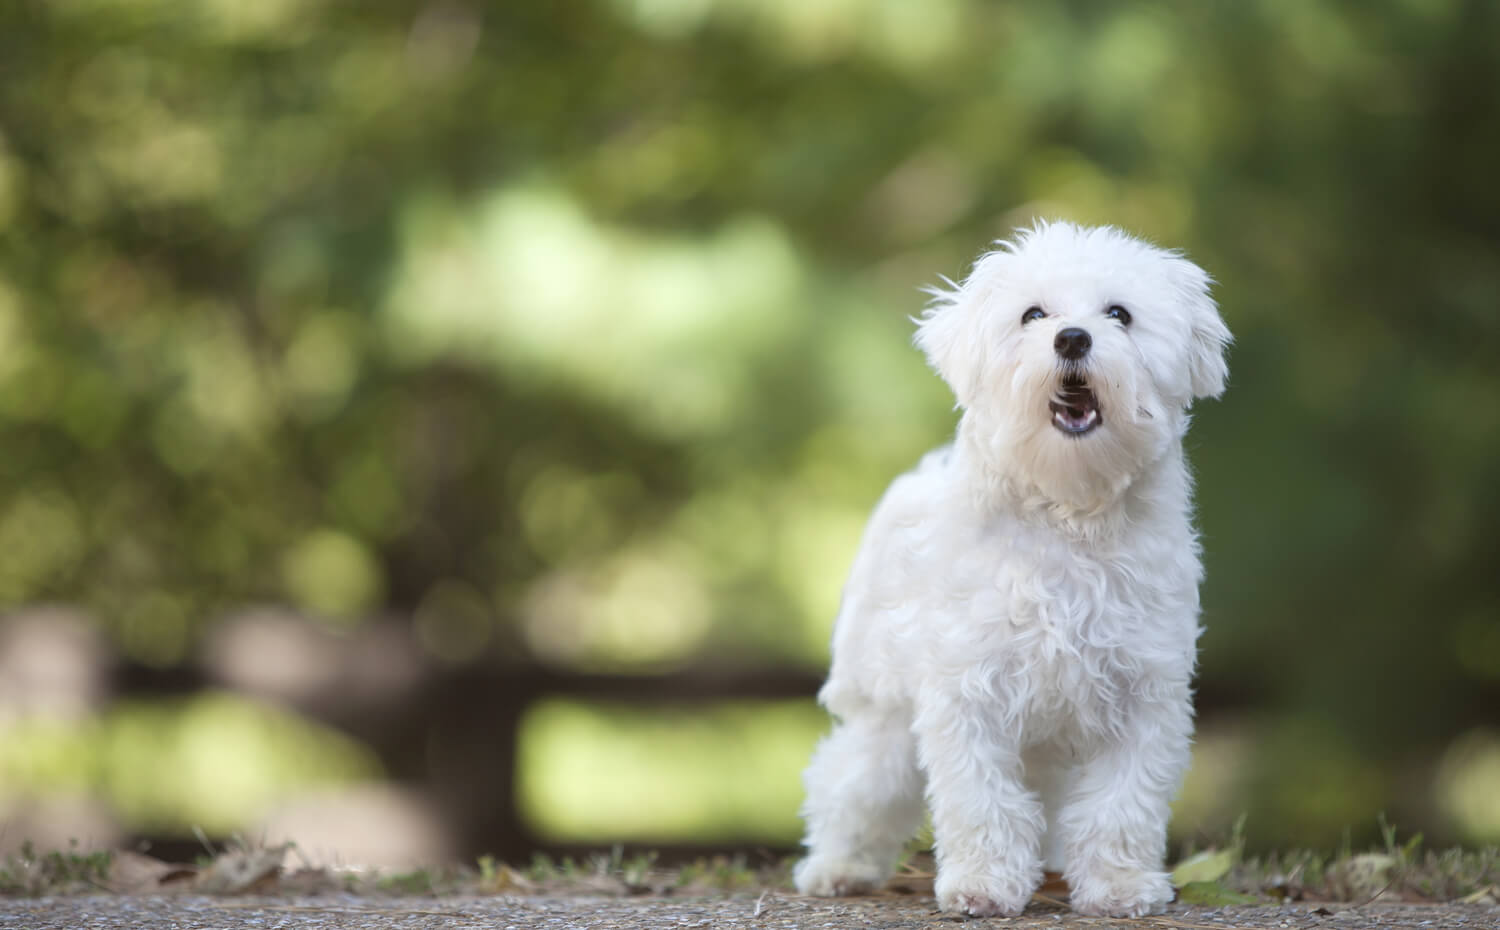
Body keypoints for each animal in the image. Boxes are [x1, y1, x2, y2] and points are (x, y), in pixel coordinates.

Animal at [798, 222, 1230, 918]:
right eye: (1033, 315)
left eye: (1119, 314)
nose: (1073, 337)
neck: (1066, 511)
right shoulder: (968, 691)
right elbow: (982, 801)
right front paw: (981, 884)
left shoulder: (1142, 692)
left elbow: (1121, 803)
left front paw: (1119, 887)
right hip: (883, 714)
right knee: (853, 783)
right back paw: (838, 868)